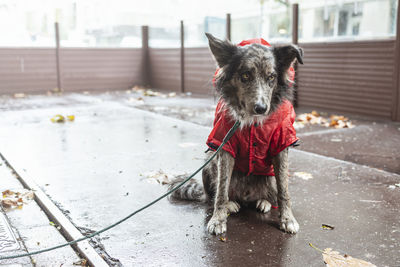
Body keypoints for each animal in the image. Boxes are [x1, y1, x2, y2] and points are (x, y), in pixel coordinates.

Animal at [169, 32, 304, 236]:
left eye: (271, 77)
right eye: (245, 75)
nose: (261, 108)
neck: (252, 122)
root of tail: (247, 196)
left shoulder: (281, 145)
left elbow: (284, 191)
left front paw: (287, 219)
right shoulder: (224, 146)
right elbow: (222, 189)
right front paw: (218, 219)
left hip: (269, 175)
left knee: (270, 194)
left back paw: (263, 201)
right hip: (209, 161)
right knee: (214, 195)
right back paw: (231, 204)